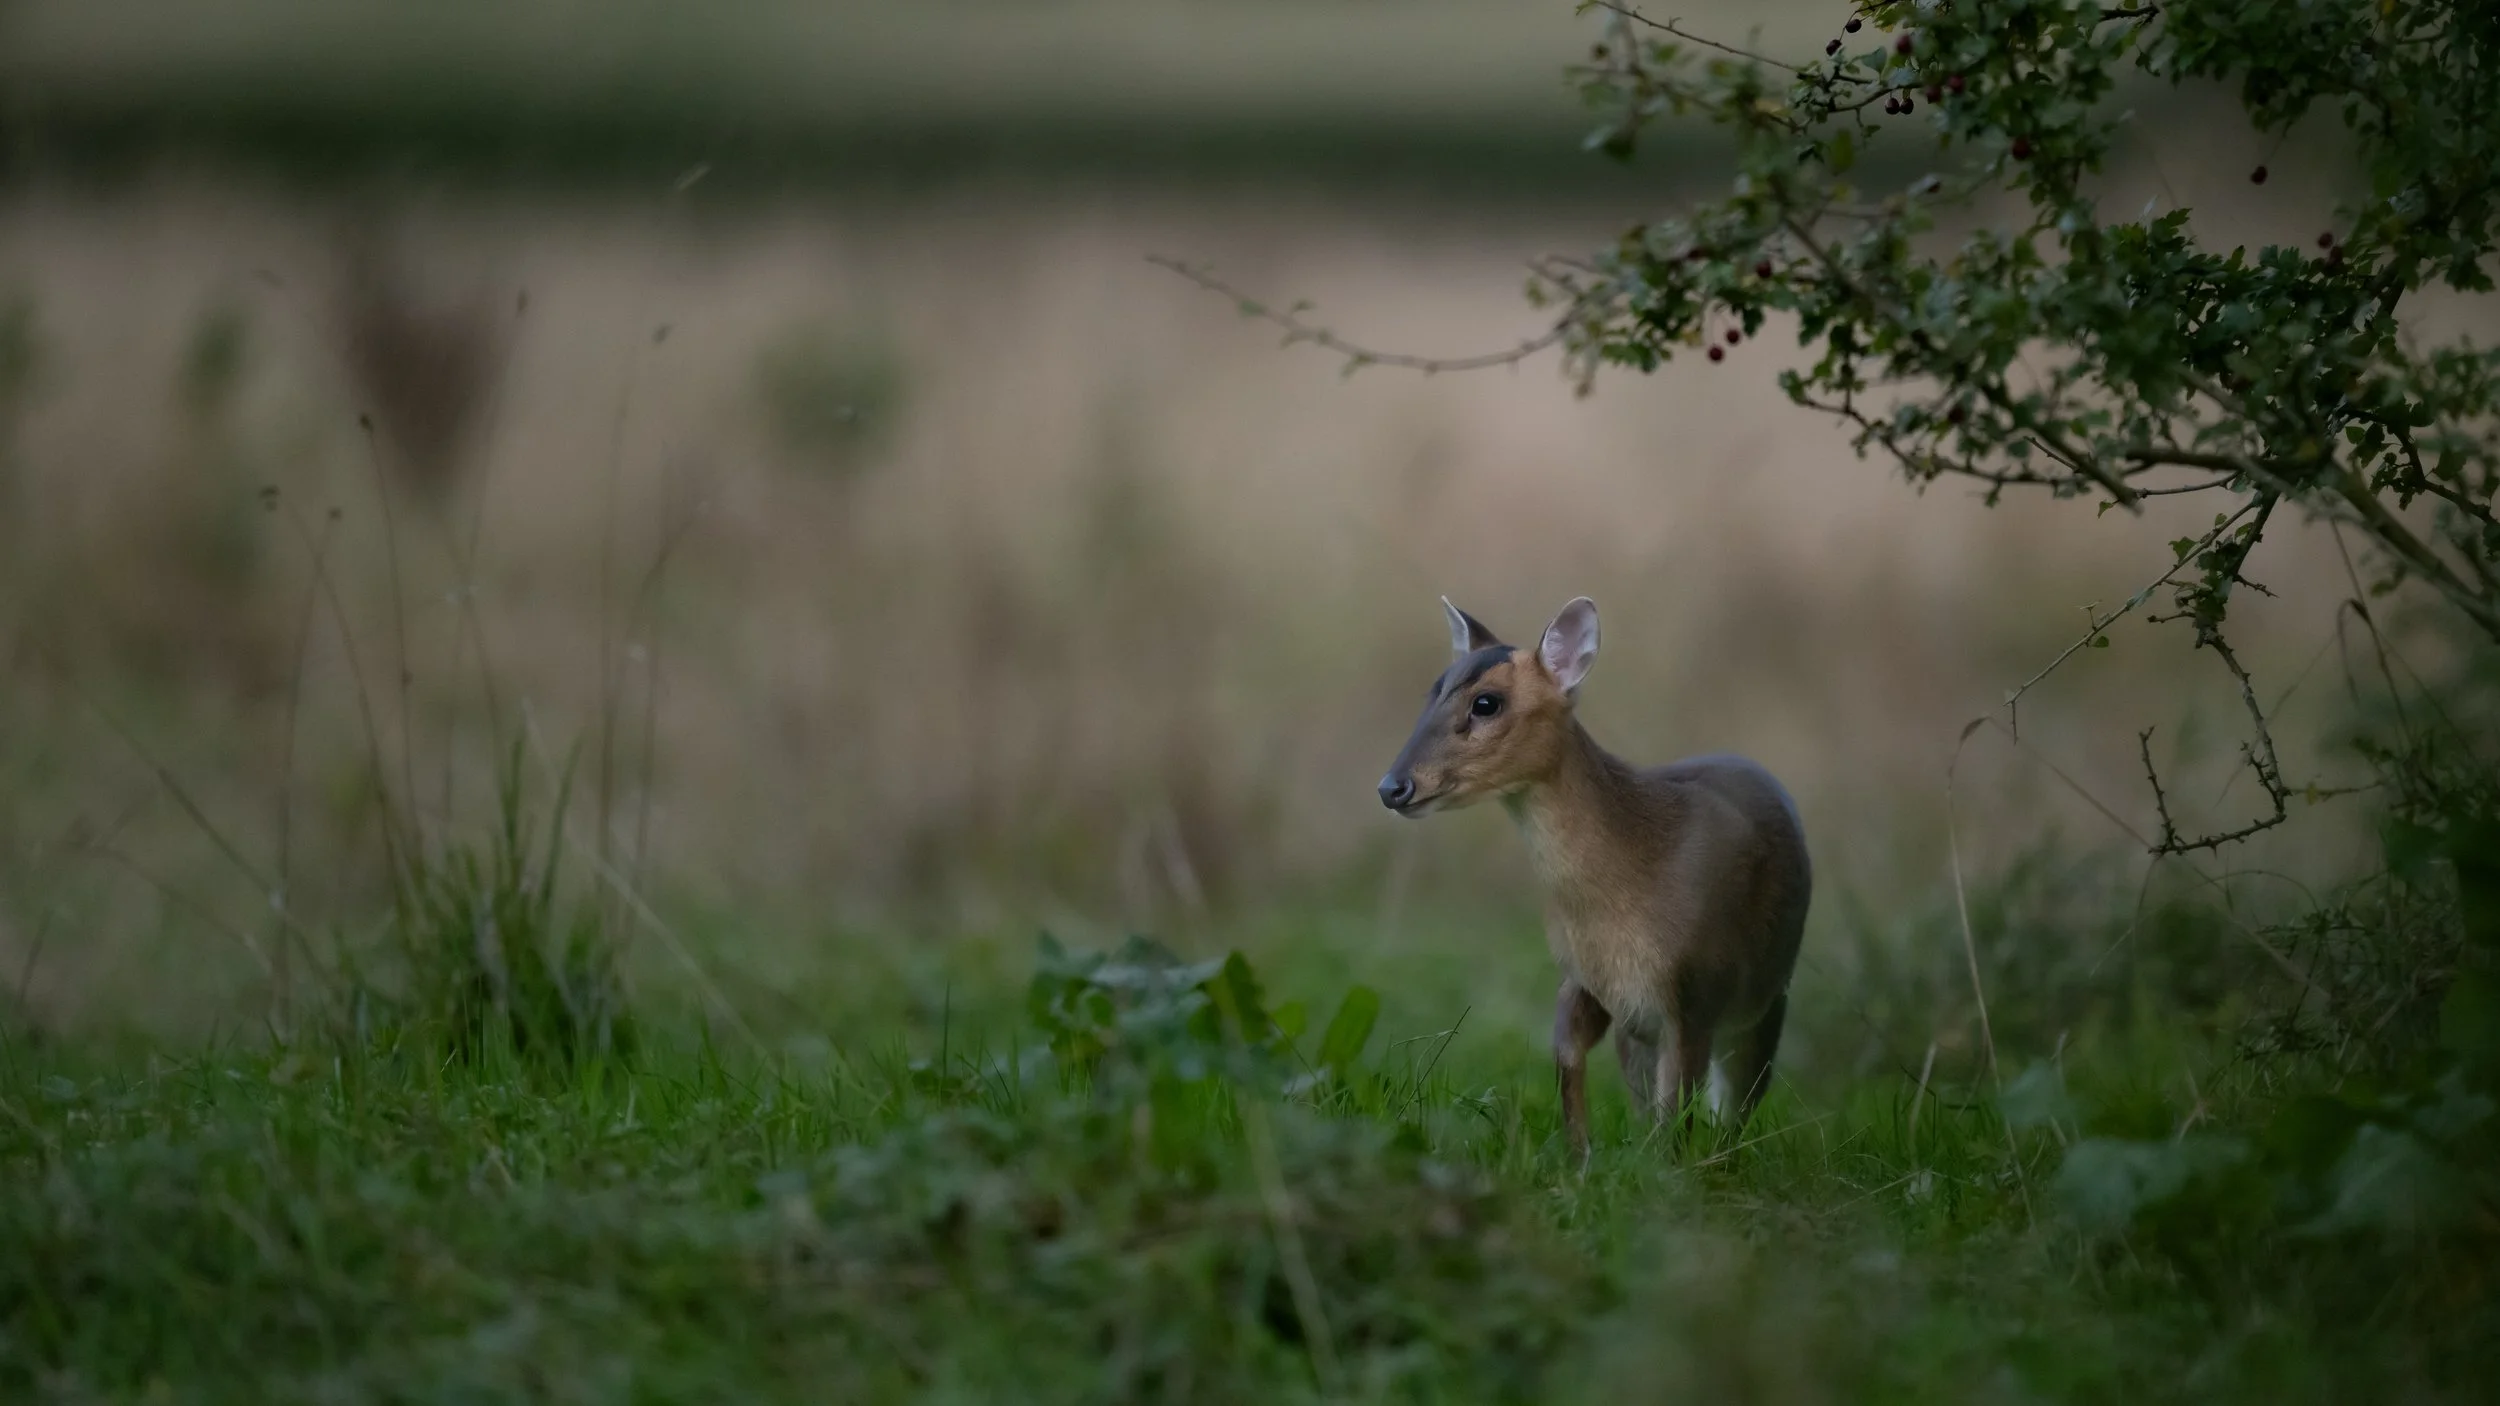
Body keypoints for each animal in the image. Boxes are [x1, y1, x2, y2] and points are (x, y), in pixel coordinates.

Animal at [1377, 596, 1812, 1162]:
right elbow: (1568, 1057)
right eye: (1433, 691)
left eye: (1487, 703)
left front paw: (1664, 1172)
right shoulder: (1585, 979)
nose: (1393, 787)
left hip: (1766, 995)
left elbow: (1680, 1104)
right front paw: (1581, 1159)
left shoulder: (1695, 989)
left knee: (1738, 1098)